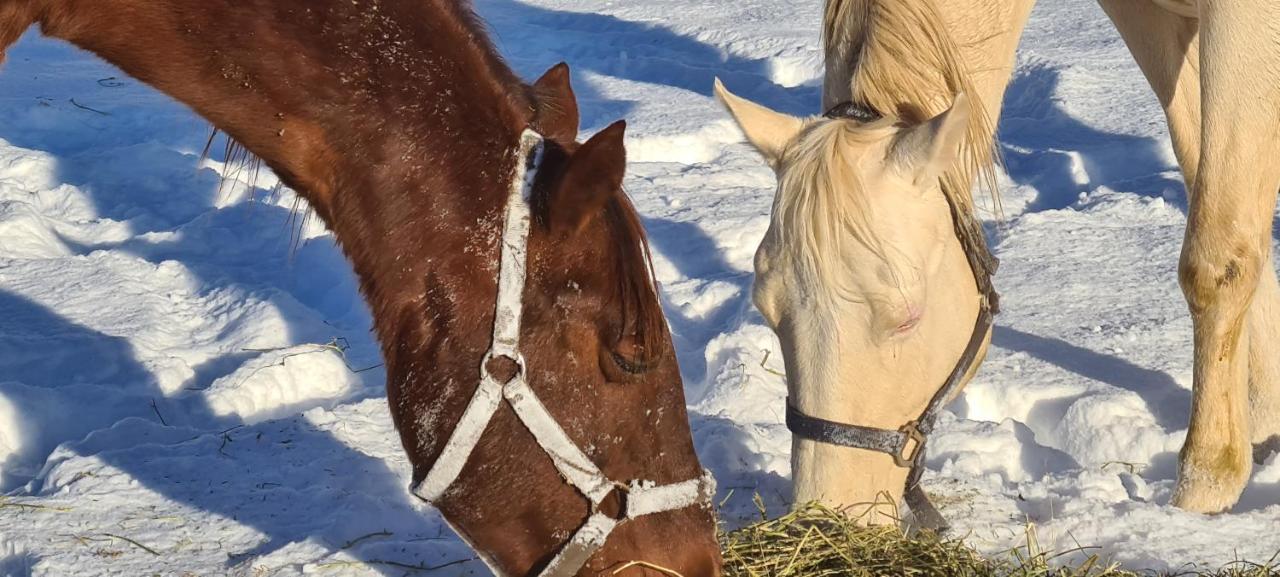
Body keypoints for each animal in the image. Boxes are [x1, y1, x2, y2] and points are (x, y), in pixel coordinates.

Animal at [716, 0, 1280, 521]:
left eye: (907, 318)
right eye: (767, 311)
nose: (827, 516)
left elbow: (1217, 253)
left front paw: (1205, 485)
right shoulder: (1151, 18)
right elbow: (1216, 191)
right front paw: (1262, 420)